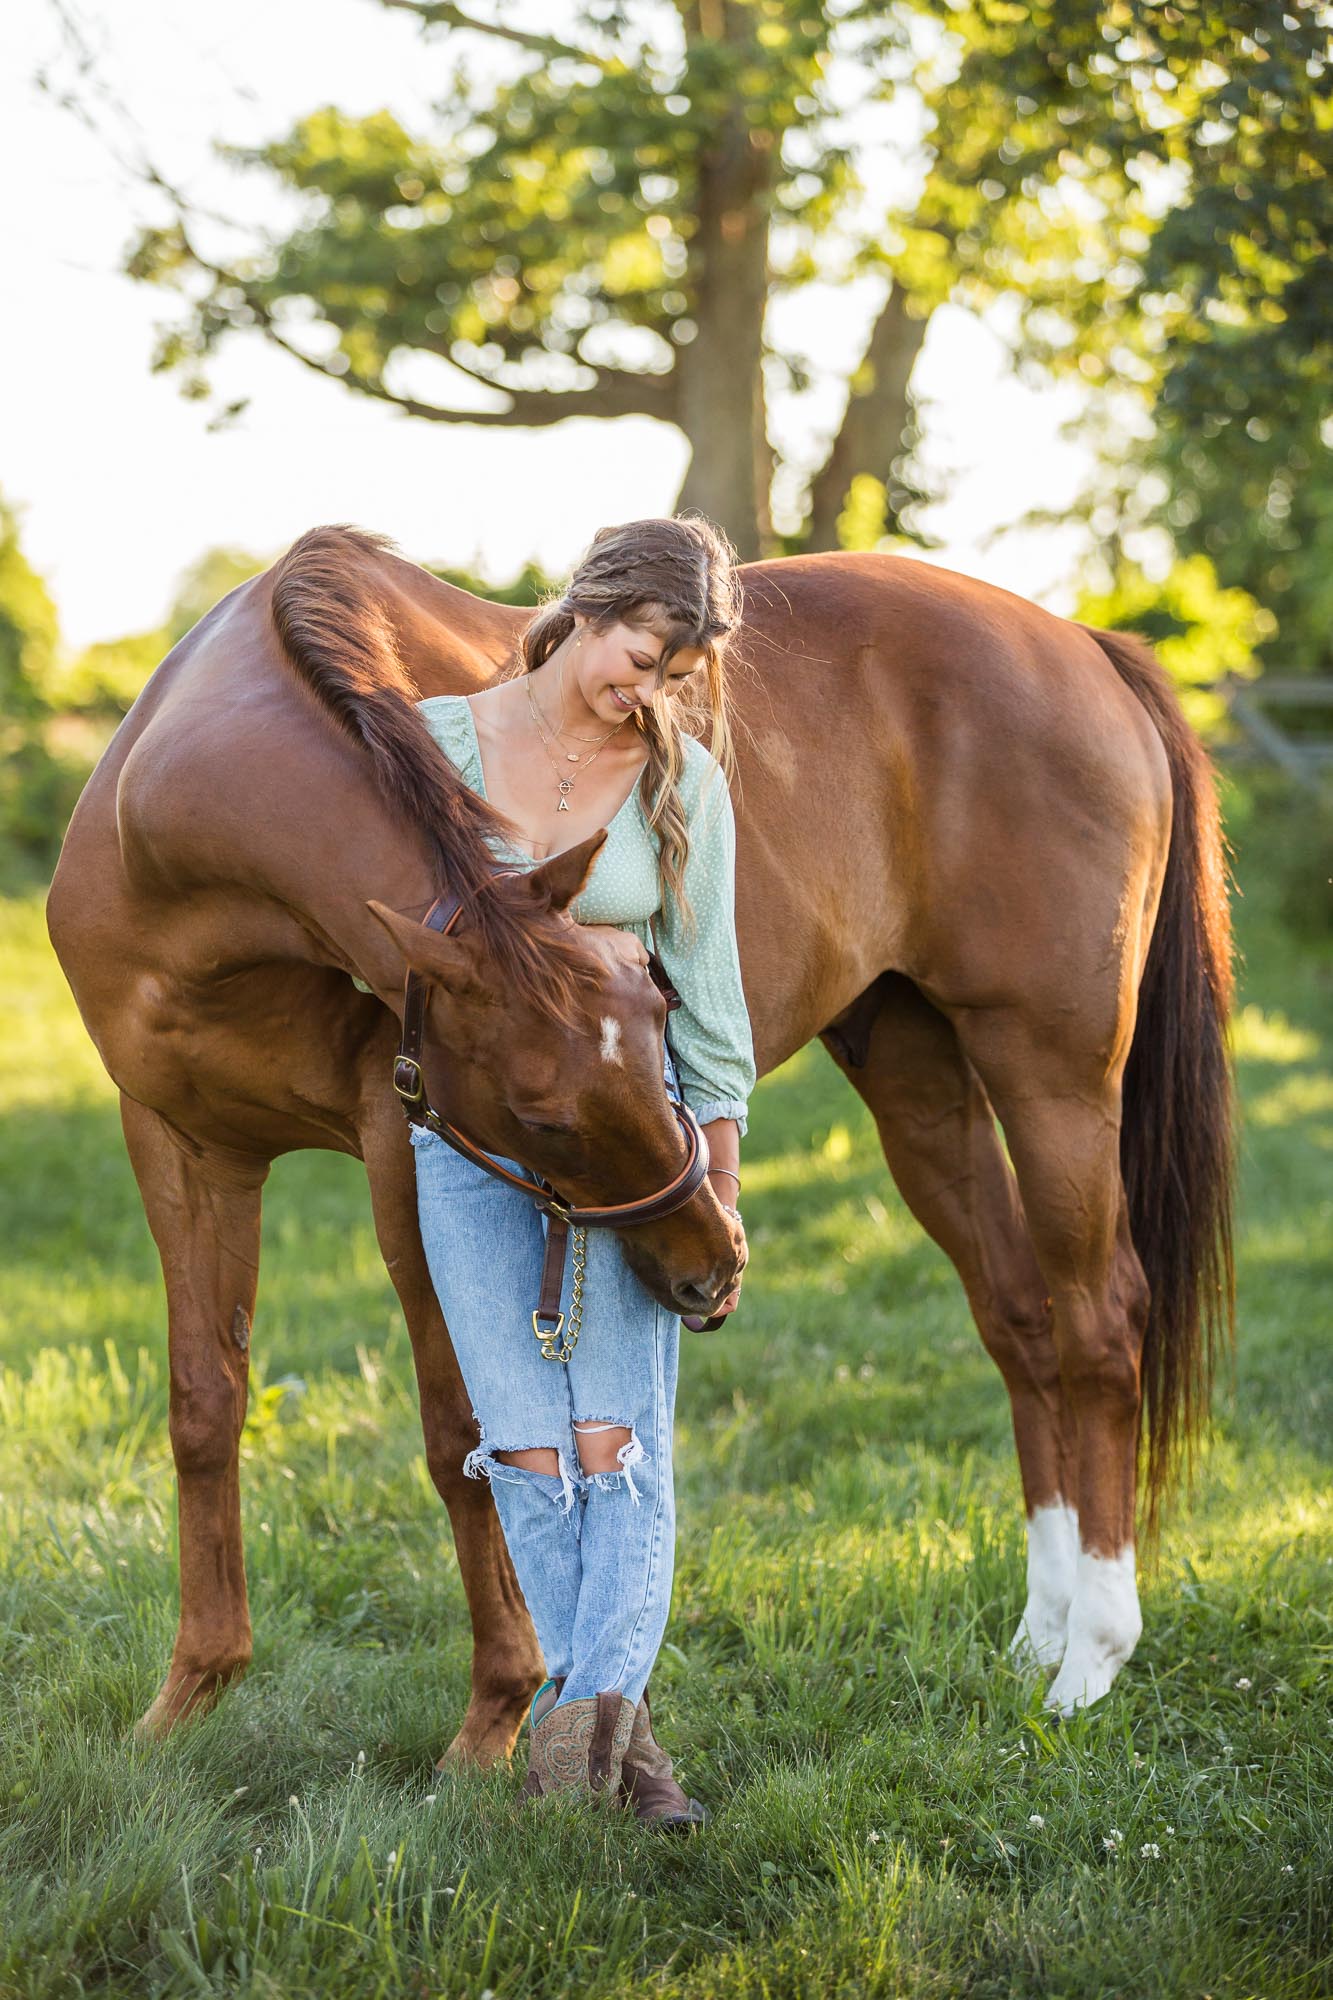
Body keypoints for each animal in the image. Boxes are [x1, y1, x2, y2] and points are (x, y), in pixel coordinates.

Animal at [46, 528, 1232, 1752]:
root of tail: (1082, 644)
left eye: (662, 1007)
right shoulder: (180, 1145)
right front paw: (189, 1696)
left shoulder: (397, 1145)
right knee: (1020, 1317)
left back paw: (1091, 1657)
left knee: (1100, 1322)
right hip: (919, 1083)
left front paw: (495, 1716)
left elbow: (459, 1430)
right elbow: (203, 1405)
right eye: (541, 1115)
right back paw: (1042, 1629)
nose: (713, 1266)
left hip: (1051, 1072)